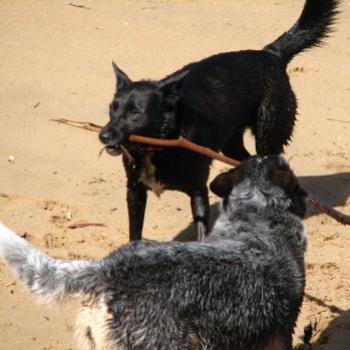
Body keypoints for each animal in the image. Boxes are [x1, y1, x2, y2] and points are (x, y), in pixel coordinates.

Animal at [99, 0, 340, 241]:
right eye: (112, 108)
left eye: (135, 113)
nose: (103, 136)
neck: (164, 140)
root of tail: (271, 54)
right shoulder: (135, 191)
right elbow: (135, 232)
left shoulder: (198, 191)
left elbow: (201, 233)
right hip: (232, 145)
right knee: (247, 162)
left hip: (268, 135)